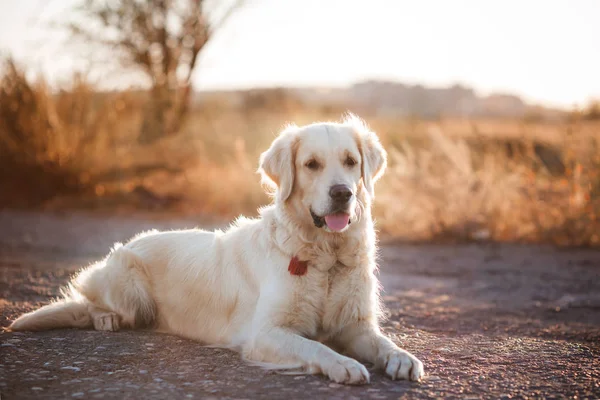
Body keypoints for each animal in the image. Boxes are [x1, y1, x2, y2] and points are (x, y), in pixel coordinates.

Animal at [8, 113, 422, 384]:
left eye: (351, 162)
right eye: (312, 164)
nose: (342, 194)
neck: (326, 255)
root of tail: (128, 242)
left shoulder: (356, 325)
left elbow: (383, 341)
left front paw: (401, 358)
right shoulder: (266, 333)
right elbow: (316, 348)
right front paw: (343, 364)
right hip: (130, 291)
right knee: (89, 302)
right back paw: (105, 318)